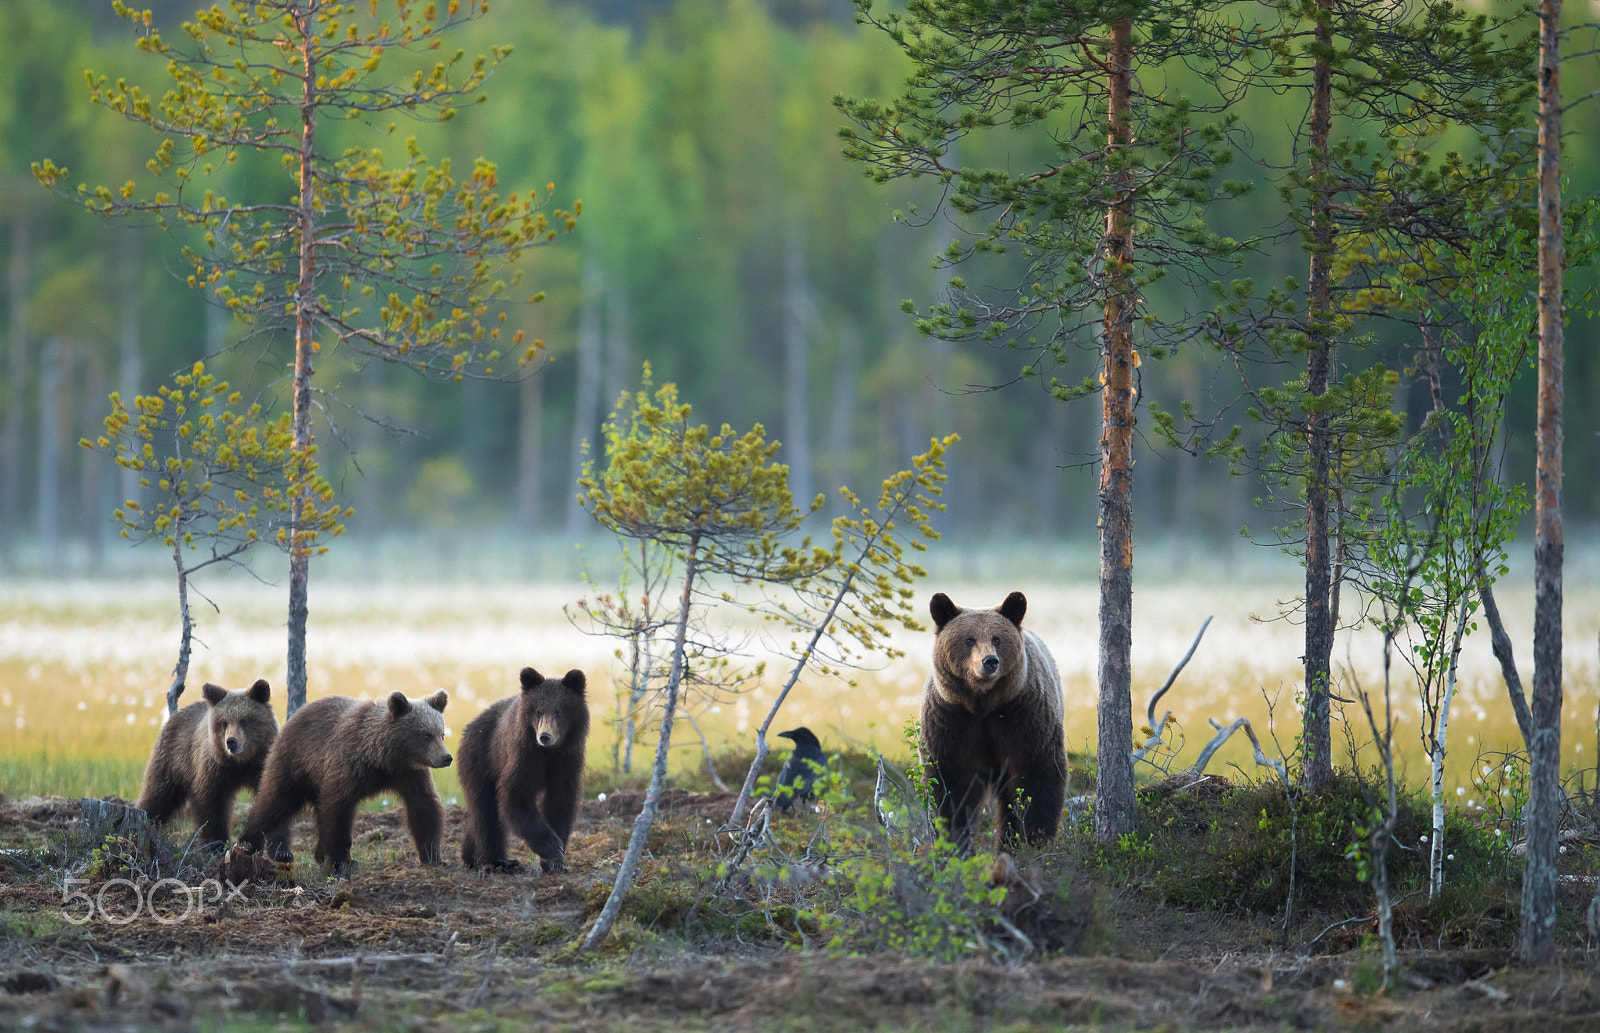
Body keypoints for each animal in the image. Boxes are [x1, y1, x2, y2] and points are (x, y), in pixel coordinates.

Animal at [136, 681, 278, 850]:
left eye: (244, 720)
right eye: (223, 722)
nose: (231, 741)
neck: (240, 763)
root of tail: (173, 717)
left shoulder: (260, 765)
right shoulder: (214, 769)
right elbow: (211, 805)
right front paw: (216, 844)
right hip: (173, 760)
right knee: (158, 795)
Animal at [457, 671, 588, 876]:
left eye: (558, 712)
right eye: (538, 712)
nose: (545, 736)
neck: (549, 752)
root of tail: (471, 724)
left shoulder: (566, 762)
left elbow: (560, 801)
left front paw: (555, 861)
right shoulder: (523, 757)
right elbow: (516, 796)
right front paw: (551, 846)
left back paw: (470, 855)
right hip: (481, 759)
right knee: (486, 811)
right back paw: (498, 860)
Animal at [928, 594, 1062, 857]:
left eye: (997, 638)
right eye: (969, 639)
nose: (989, 661)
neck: (983, 703)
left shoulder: (1023, 717)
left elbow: (1039, 776)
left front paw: (1037, 840)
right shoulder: (951, 721)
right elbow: (950, 787)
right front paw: (955, 845)